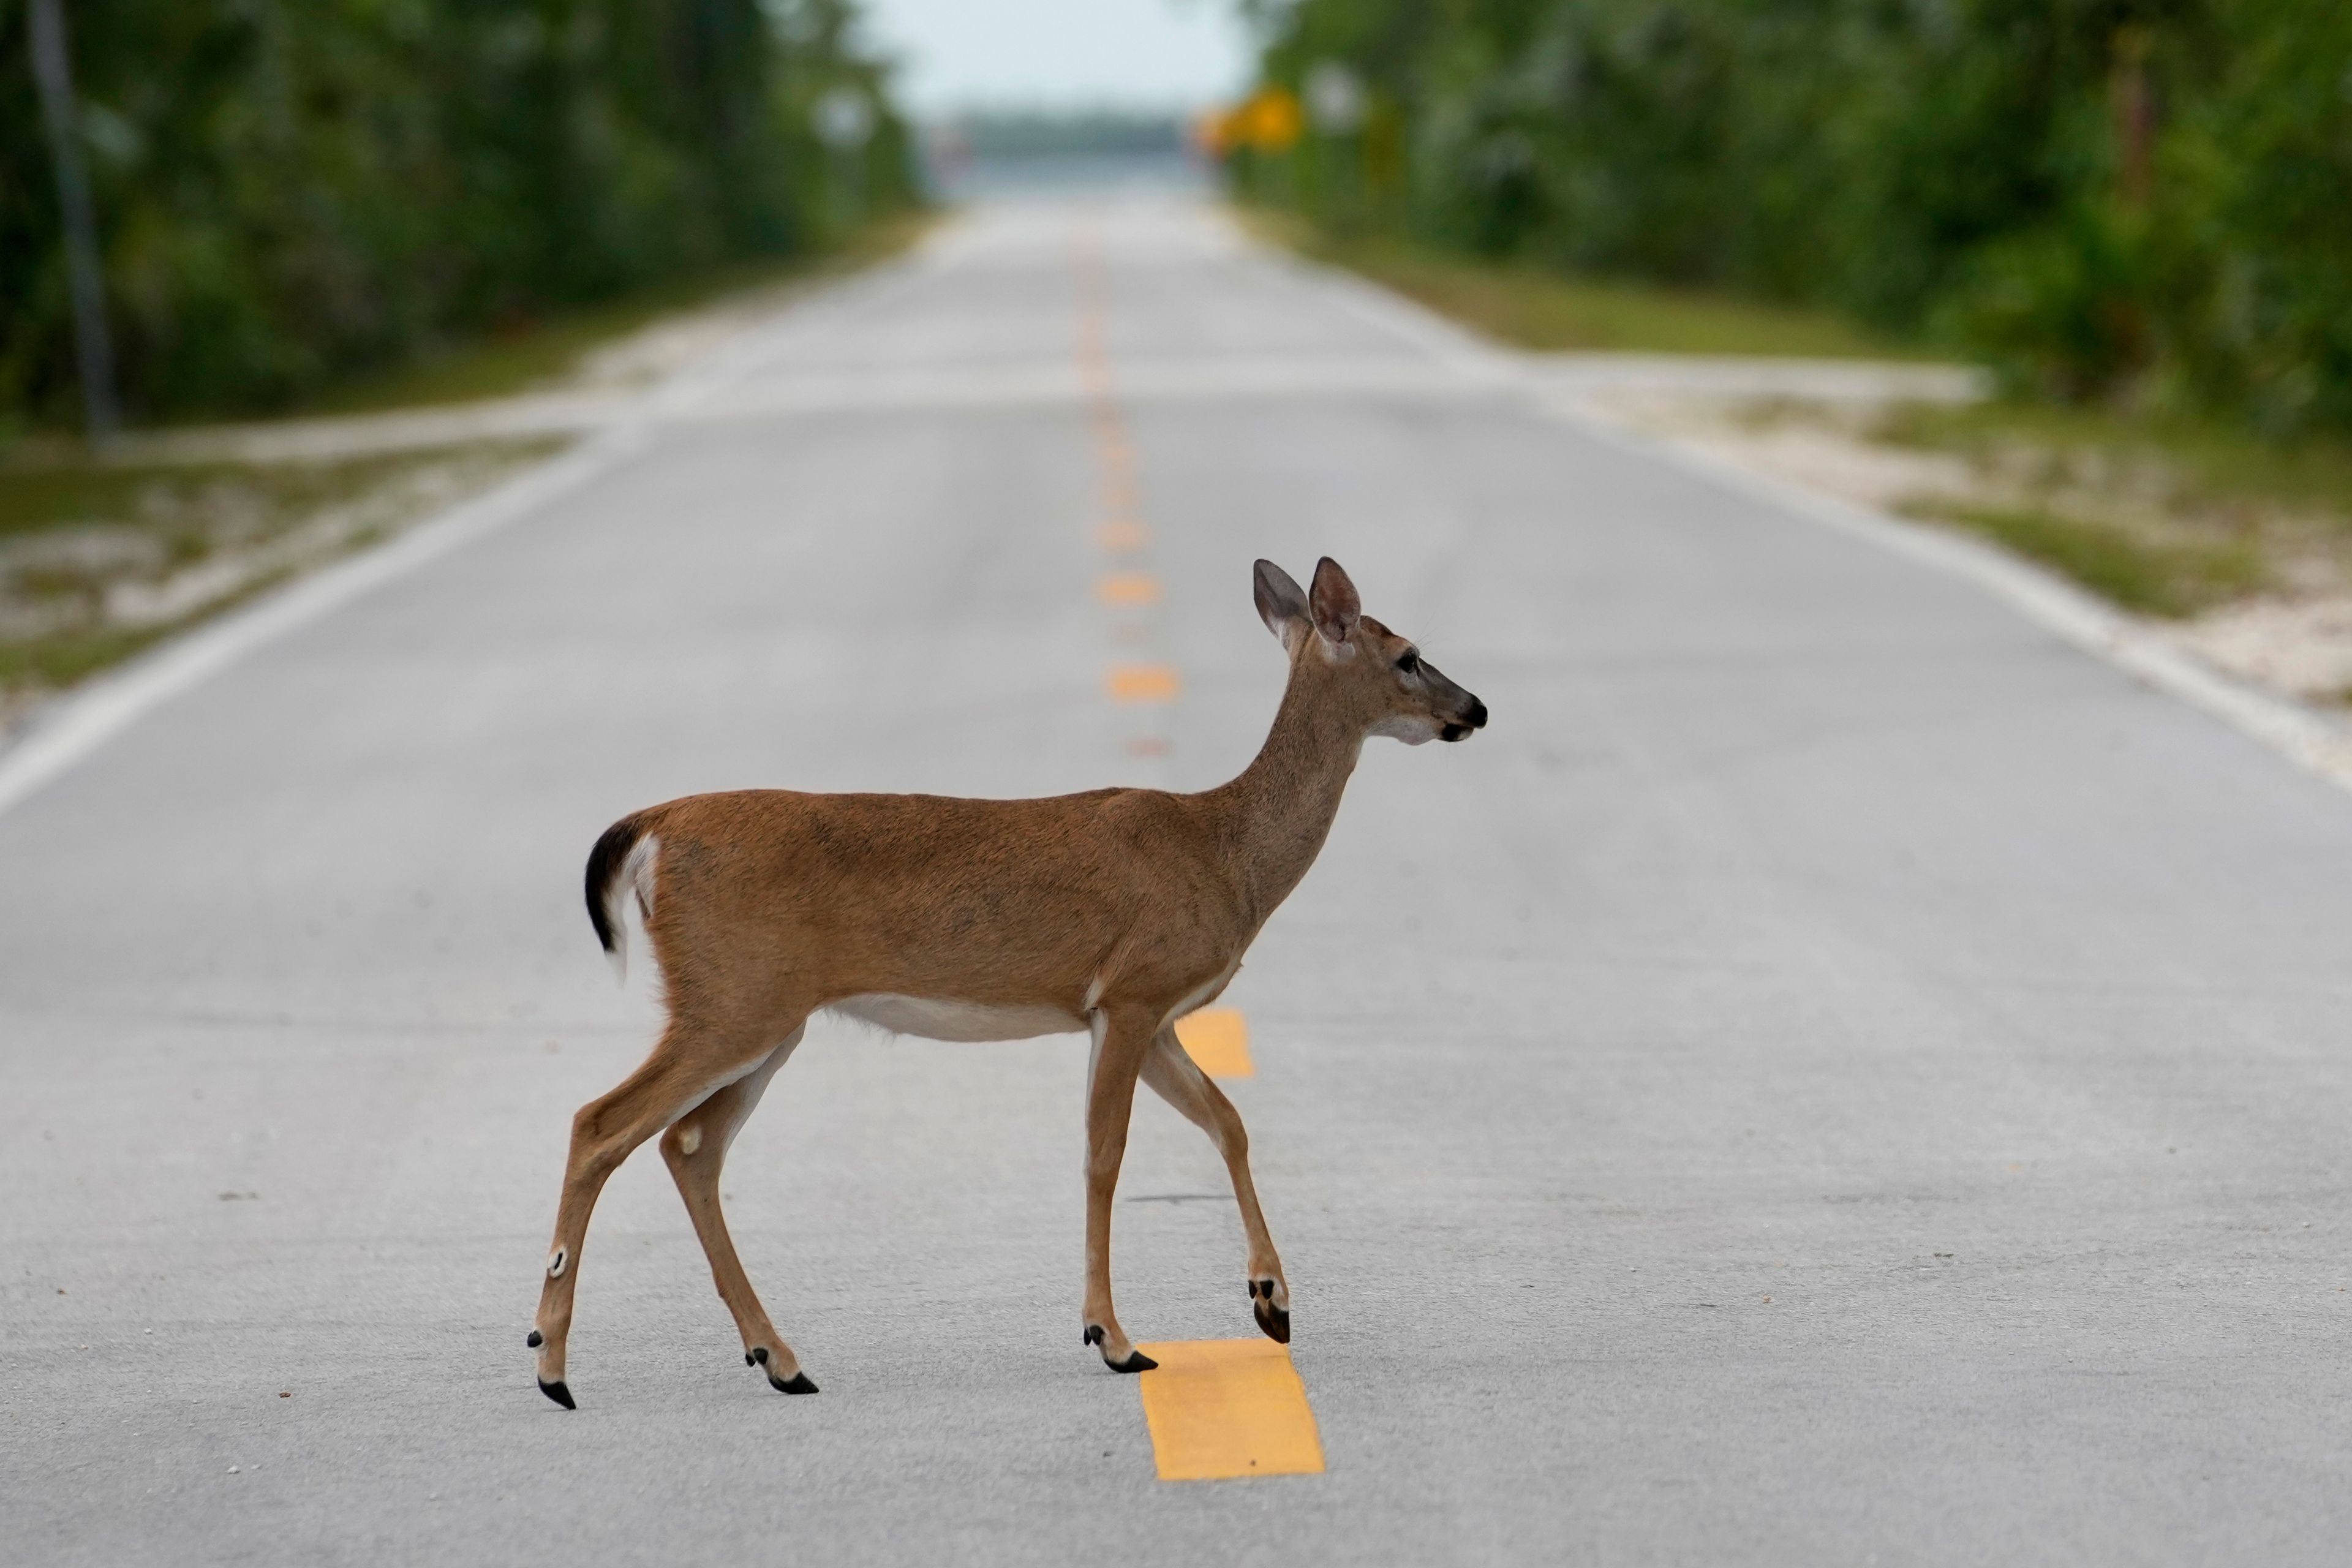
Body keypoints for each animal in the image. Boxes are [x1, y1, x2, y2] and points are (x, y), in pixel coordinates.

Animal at [533, 554, 1486, 1410]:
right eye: (1408, 654)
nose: (1475, 708)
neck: (1224, 851)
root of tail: (654, 827)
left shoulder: (1150, 1017)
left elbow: (1228, 1122)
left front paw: (1272, 1303)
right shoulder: (1133, 992)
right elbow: (1106, 1155)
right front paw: (1114, 1338)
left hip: (768, 1014)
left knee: (690, 1145)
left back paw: (780, 1360)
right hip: (733, 997)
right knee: (602, 1122)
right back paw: (553, 1366)